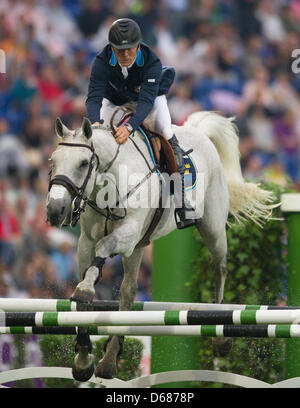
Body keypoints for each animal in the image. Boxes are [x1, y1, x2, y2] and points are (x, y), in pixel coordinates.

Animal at [45, 110, 274, 380]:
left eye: (83, 163)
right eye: (52, 161)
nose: (55, 210)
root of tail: (199, 133)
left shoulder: (128, 234)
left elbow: (102, 249)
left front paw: (85, 289)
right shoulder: (86, 242)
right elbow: (83, 299)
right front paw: (83, 361)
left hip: (212, 229)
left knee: (220, 267)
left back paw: (220, 336)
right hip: (140, 247)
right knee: (128, 292)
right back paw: (109, 360)